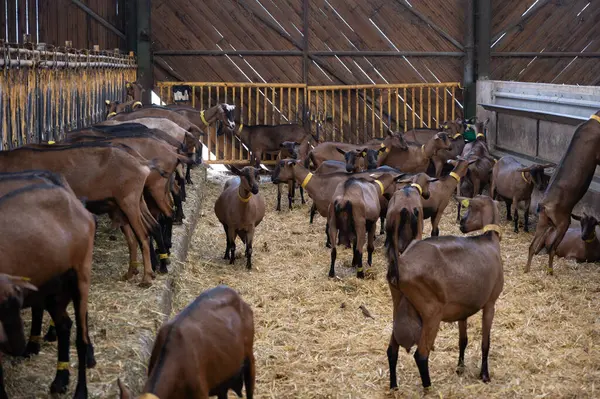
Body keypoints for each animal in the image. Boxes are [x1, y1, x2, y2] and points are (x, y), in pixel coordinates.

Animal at [384, 196, 502, 390]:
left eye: (471, 208)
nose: (462, 223)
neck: (489, 240)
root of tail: (400, 264)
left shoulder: (463, 310)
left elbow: (463, 340)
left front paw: (460, 367)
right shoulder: (490, 303)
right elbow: (486, 343)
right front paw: (484, 374)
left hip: (398, 306)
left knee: (392, 351)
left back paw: (394, 386)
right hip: (431, 314)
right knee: (421, 355)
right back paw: (428, 388)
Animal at [524, 112, 600, 276]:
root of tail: (545, 205)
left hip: (543, 222)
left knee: (532, 246)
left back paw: (527, 269)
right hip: (563, 223)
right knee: (552, 248)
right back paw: (550, 271)